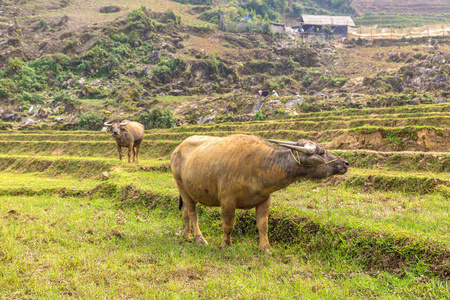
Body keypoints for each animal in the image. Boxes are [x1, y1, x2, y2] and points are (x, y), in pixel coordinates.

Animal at [171, 134, 350, 253]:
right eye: (321, 152)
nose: (346, 163)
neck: (260, 165)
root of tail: (176, 150)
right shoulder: (227, 201)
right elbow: (228, 224)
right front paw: (225, 244)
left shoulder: (265, 199)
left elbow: (263, 225)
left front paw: (265, 249)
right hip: (181, 185)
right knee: (193, 213)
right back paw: (199, 238)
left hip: (191, 191)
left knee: (185, 212)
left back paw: (186, 235)